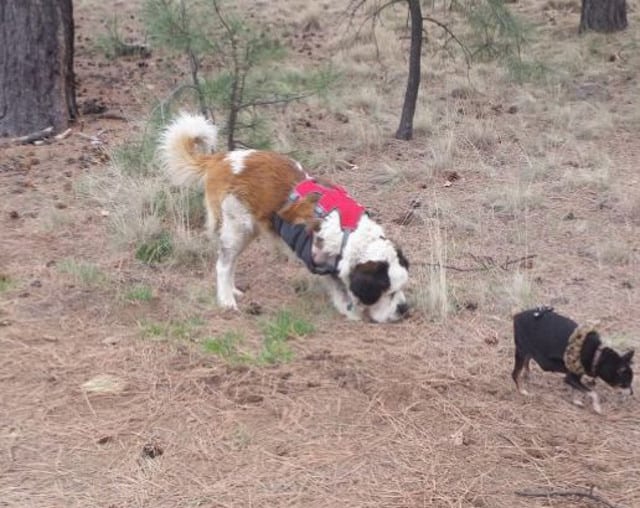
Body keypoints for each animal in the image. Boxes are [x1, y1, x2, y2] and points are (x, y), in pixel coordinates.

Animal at [160, 113, 410, 324]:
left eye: (400, 289)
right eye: (388, 292)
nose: (404, 309)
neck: (348, 232)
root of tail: (221, 158)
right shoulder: (319, 261)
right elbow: (340, 289)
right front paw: (352, 312)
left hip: (246, 231)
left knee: (231, 263)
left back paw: (233, 291)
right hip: (236, 228)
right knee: (223, 265)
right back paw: (226, 300)